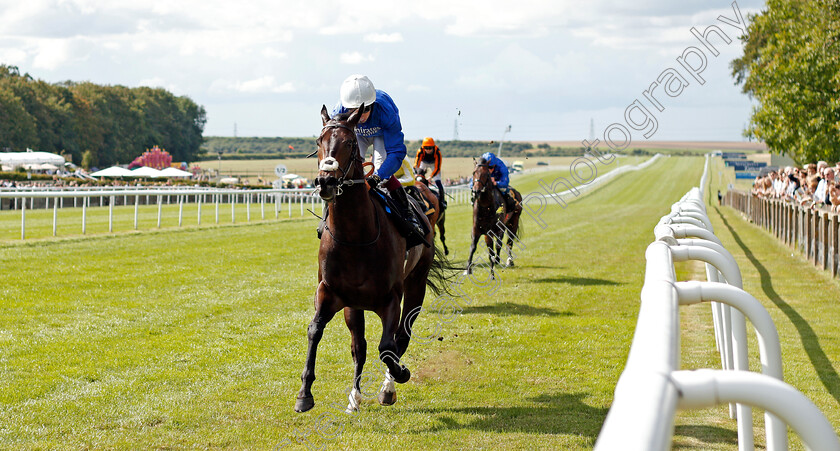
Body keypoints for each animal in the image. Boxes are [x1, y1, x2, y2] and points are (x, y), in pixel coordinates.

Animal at [296, 105, 450, 414]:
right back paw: (355, 397)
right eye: (319, 141)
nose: (326, 181)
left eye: (349, 143)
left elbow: (388, 347)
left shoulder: (391, 298)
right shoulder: (331, 293)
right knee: (360, 346)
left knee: (401, 337)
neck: (355, 237)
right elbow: (316, 331)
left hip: (416, 284)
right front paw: (305, 393)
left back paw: (388, 386)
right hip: (354, 306)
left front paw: (398, 376)